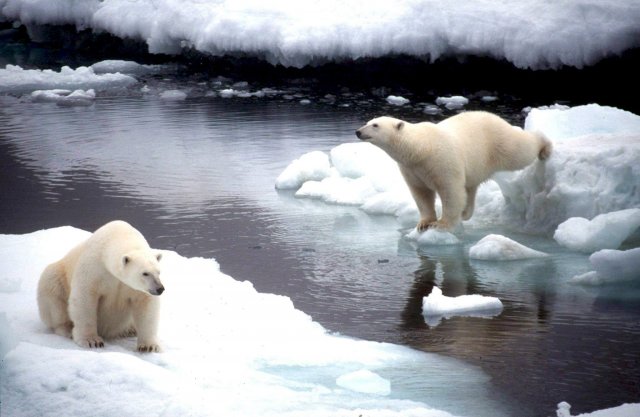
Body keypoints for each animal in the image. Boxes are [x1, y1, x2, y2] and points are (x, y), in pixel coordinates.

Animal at [38, 219, 165, 352]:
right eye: (145, 273)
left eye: (158, 272)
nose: (160, 289)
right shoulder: (94, 268)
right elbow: (85, 297)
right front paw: (91, 341)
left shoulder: (135, 288)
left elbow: (146, 305)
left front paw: (149, 346)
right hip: (57, 276)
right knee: (53, 294)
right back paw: (67, 329)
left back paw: (130, 330)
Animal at [356, 112, 552, 231]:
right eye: (368, 122)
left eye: (375, 125)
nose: (358, 131)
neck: (421, 148)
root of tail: (497, 117)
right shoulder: (411, 168)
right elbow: (421, 193)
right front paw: (423, 223)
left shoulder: (442, 161)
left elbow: (450, 191)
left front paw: (441, 224)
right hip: (477, 163)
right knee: (471, 187)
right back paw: (466, 213)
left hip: (497, 143)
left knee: (520, 151)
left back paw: (545, 147)